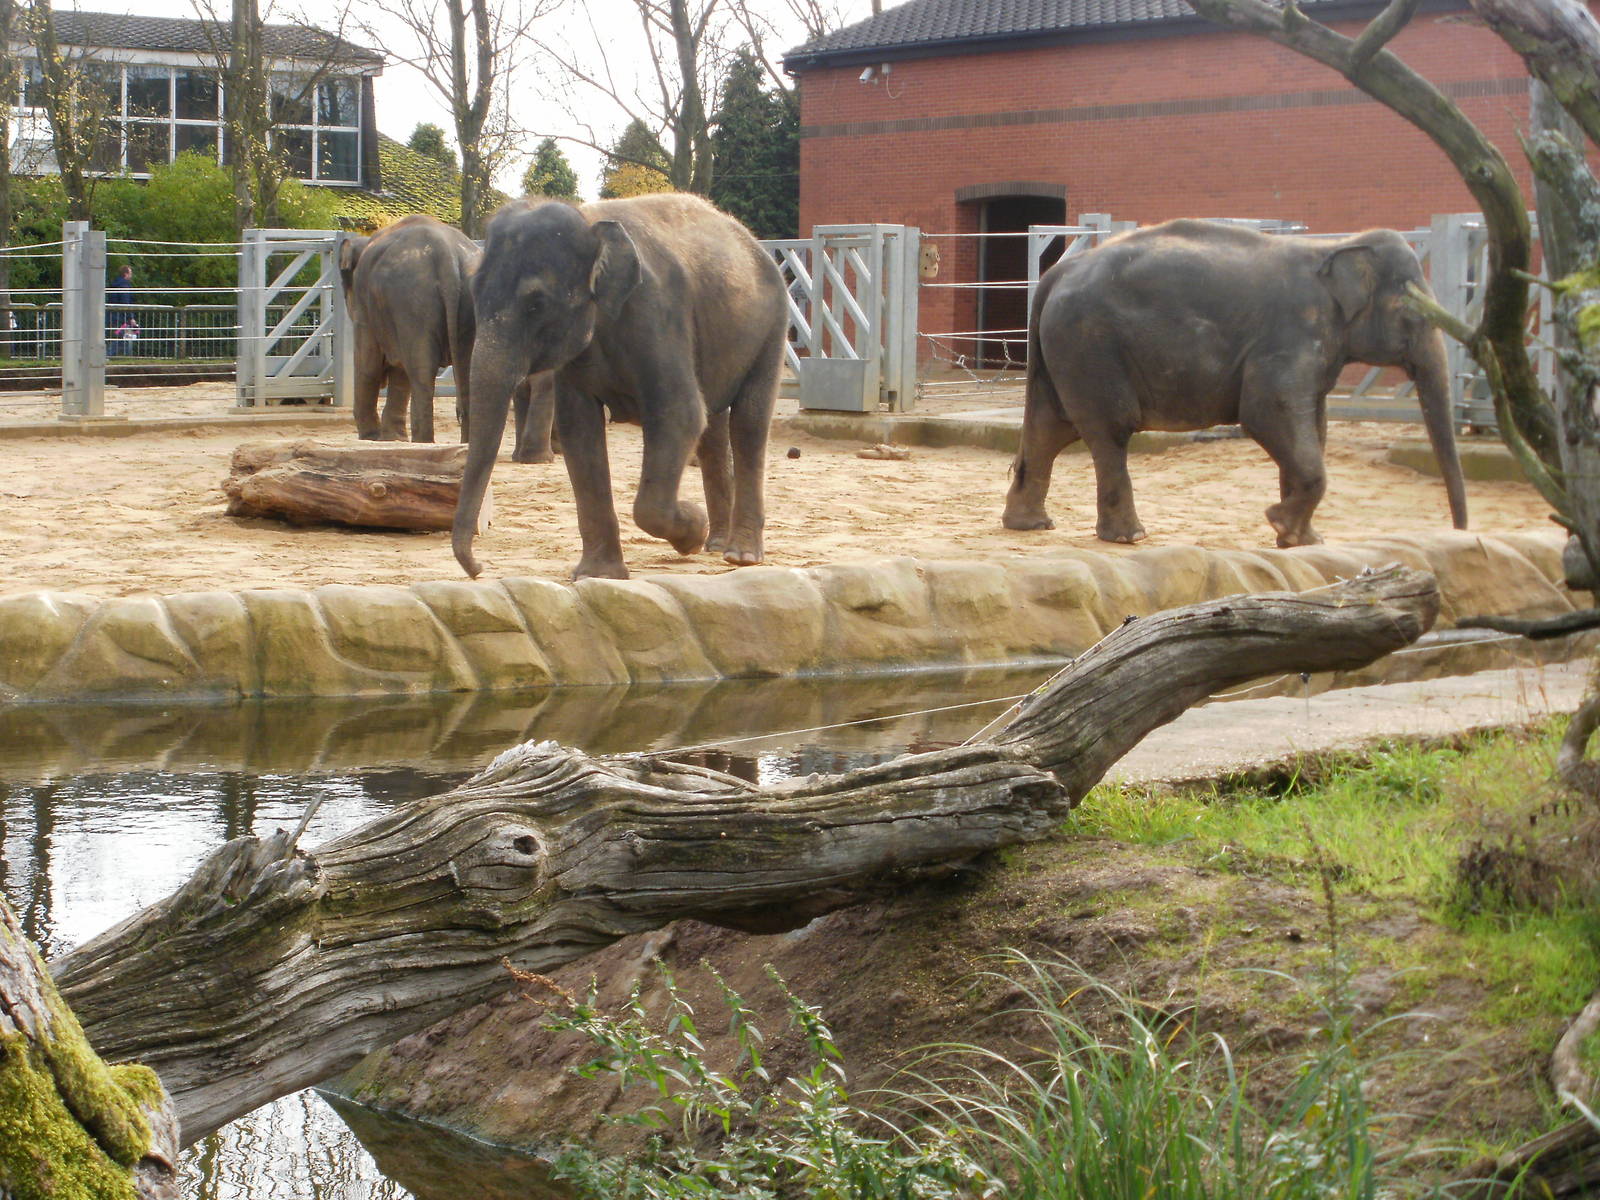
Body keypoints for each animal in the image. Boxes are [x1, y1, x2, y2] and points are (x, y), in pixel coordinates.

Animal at [338, 214, 555, 460]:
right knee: (468, 371)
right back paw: (465, 444)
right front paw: (392, 438)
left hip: (412, 300)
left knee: (421, 373)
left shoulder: (365, 307)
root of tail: (446, 254)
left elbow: (369, 364)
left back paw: (423, 443)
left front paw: (372, 437)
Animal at [453, 194, 787, 581]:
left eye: (536, 304)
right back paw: (715, 544)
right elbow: (578, 428)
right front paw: (597, 575)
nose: (478, 569)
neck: (590, 221)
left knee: (748, 424)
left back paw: (740, 556)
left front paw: (691, 528)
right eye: (474, 294)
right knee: (714, 432)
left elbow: (680, 415)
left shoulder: (657, 312)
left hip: (772, 327)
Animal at [1002, 219, 1469, 548]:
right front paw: (1282, 524)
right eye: (1413, 313)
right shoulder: (1290, 335)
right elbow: (1267, 413)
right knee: (1109, 431)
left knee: (1048, 428)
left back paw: (1030, 526)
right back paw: (1129, 537)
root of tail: (1056, 275)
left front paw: (1301, 540)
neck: (1335, 248)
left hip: (1066, 351)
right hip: (1091, 346)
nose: (1461, 532)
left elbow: (1313, 426)